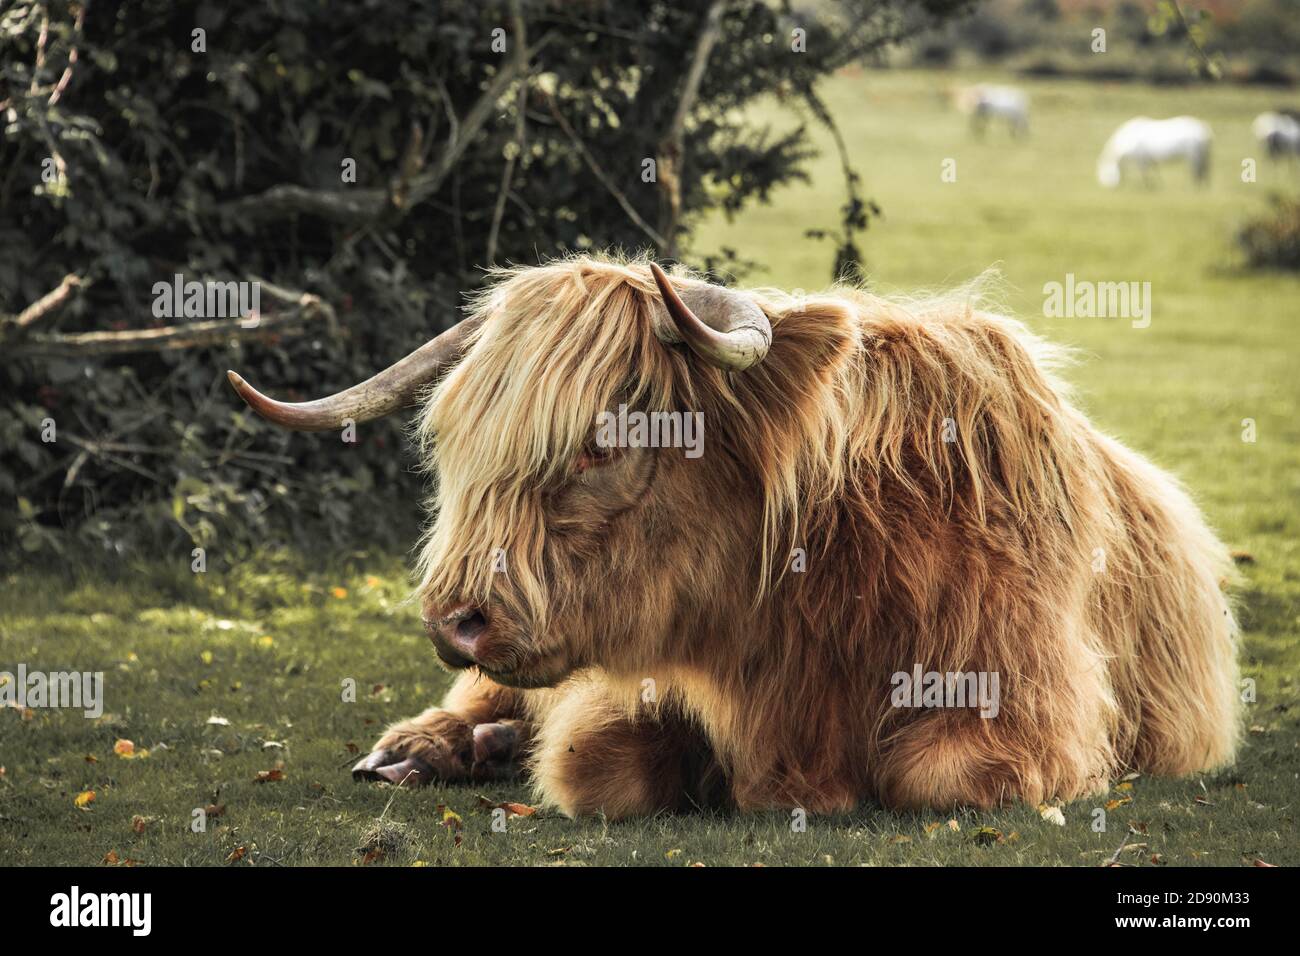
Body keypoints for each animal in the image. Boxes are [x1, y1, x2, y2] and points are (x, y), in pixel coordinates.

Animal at [228, 257, 1240, 817]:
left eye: (604, 443)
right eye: (457, 444)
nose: (456, 619)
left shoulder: (1028, 703)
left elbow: (939, 777)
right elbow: (597, 766)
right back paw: (420, 751)